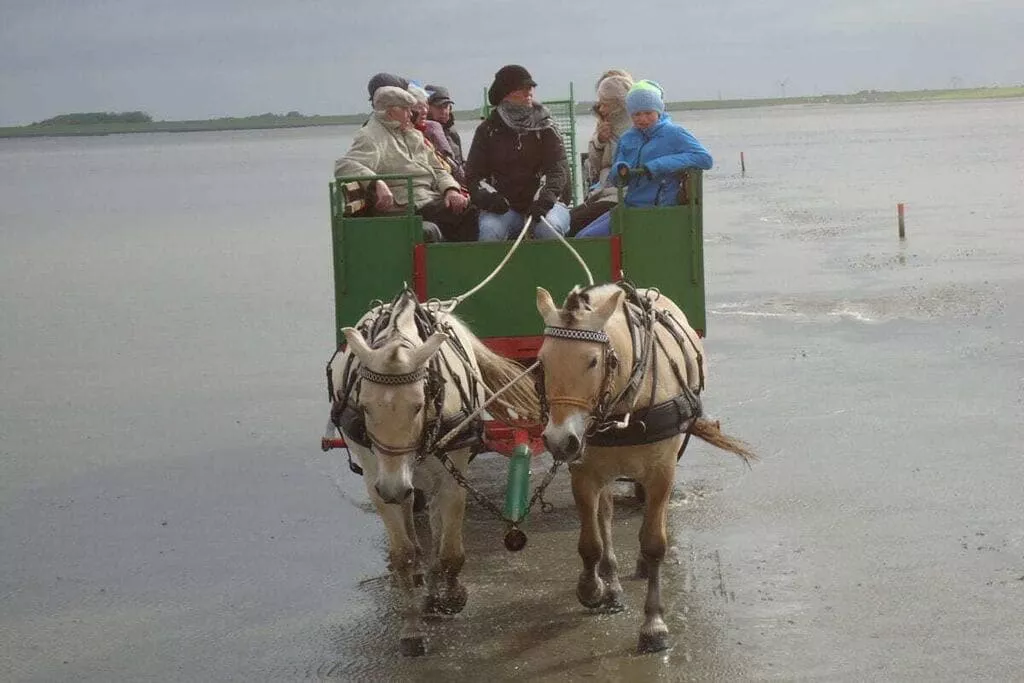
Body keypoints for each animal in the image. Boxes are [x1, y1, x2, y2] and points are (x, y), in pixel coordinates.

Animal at [327, 288, 540, 655]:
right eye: (365, 406)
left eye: (417, 404)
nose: (394, 487)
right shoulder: (376, 479)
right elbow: (403, 554)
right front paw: (411, 629)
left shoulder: (452, 474)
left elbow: (450, 548)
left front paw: (451, 595)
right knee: (415, 524)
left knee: (437, 525)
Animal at [532, 284, 757, 655]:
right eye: (542, 361)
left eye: (593, 361)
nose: (559, 440)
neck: (627, 400)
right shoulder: (584, 471)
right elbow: (591, 541)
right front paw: (592, 588)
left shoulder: (661, 471)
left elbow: (654, 543)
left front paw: (654, 625)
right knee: (606, 517)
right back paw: (611, 585)